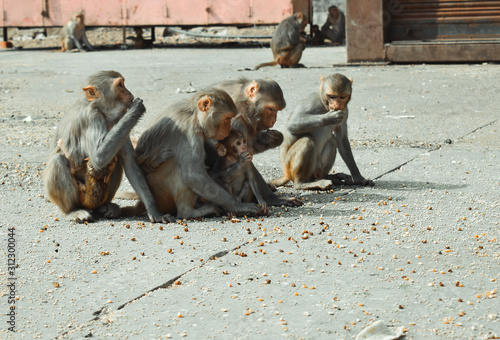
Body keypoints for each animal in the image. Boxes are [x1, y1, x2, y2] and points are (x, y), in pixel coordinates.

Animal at [45, 70, 174, 224]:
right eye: (120, 85)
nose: (129, 93)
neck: (102, 112)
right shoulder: (91, 116)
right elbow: (98, 158)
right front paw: (135, 110)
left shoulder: (117, 121)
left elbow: (130, 164)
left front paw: (154, 211)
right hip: (82, 197)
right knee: (58, 160)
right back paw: (72, 211)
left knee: (117, 162)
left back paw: (106, 208)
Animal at [135, 89, 264, 219]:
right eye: (227, 118)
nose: (228, 129)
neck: (194, 116)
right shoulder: (188, 133)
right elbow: (193, 176)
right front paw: (239, 206)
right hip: (160, 193)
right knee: (176, 164)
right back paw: (189, 212)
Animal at [213, 79, 302, 207]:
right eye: (271, 109)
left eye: (277, 110)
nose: (274, 120)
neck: (244, 104)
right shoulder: (236, 122)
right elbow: (245, 157)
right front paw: (273, 200)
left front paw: (275, 138)